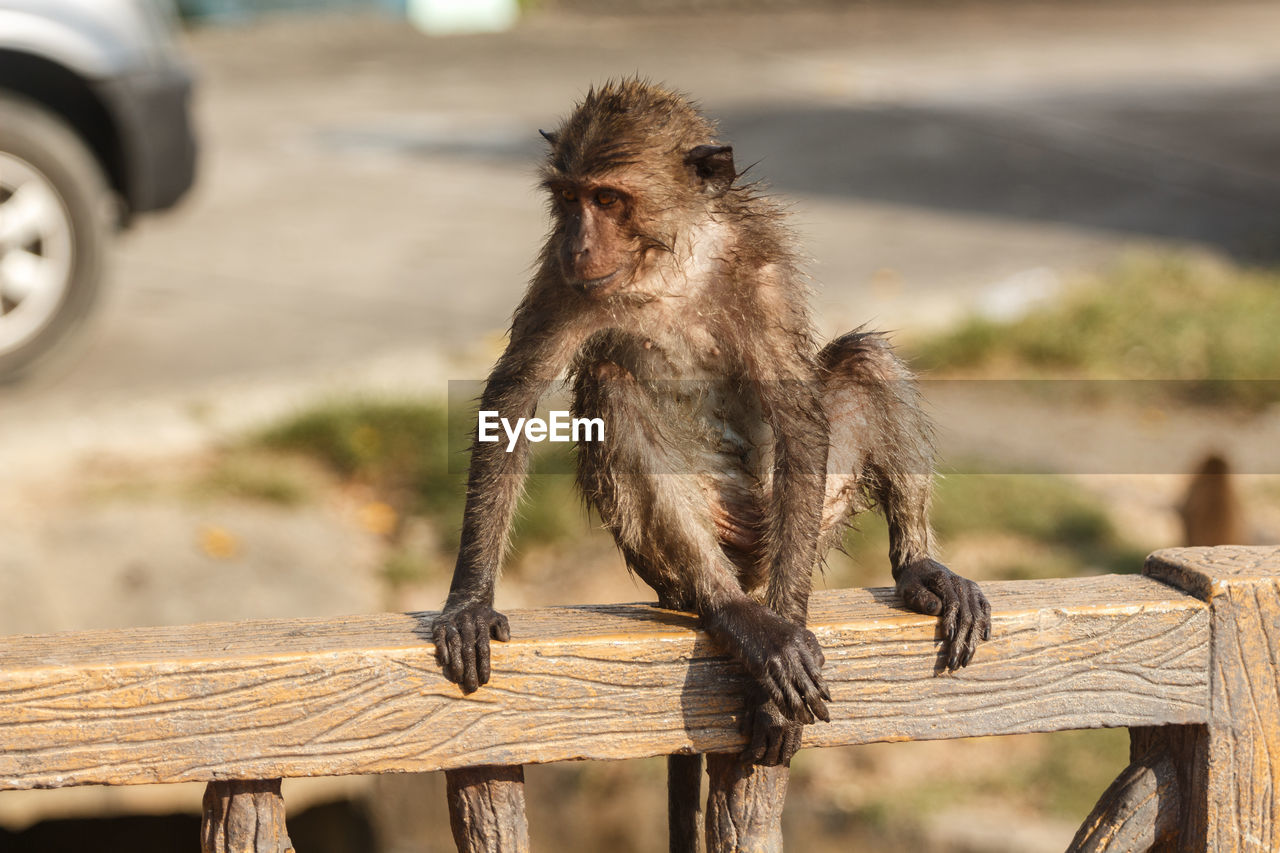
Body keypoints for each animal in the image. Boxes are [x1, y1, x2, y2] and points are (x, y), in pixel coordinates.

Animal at [435, 78, 993, 845]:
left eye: (610, 199)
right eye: (571, 199)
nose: (583, 242)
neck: (671, 261)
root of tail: (747, 569)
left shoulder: (763, 267)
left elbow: (798, 418)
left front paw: (777, 691)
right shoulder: (560, 273)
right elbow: (514, 397)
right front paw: (469, 600)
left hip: (797, 527)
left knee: (863, 360)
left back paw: (915, 567)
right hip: (675, 552)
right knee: (613, 386)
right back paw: (732, 611)